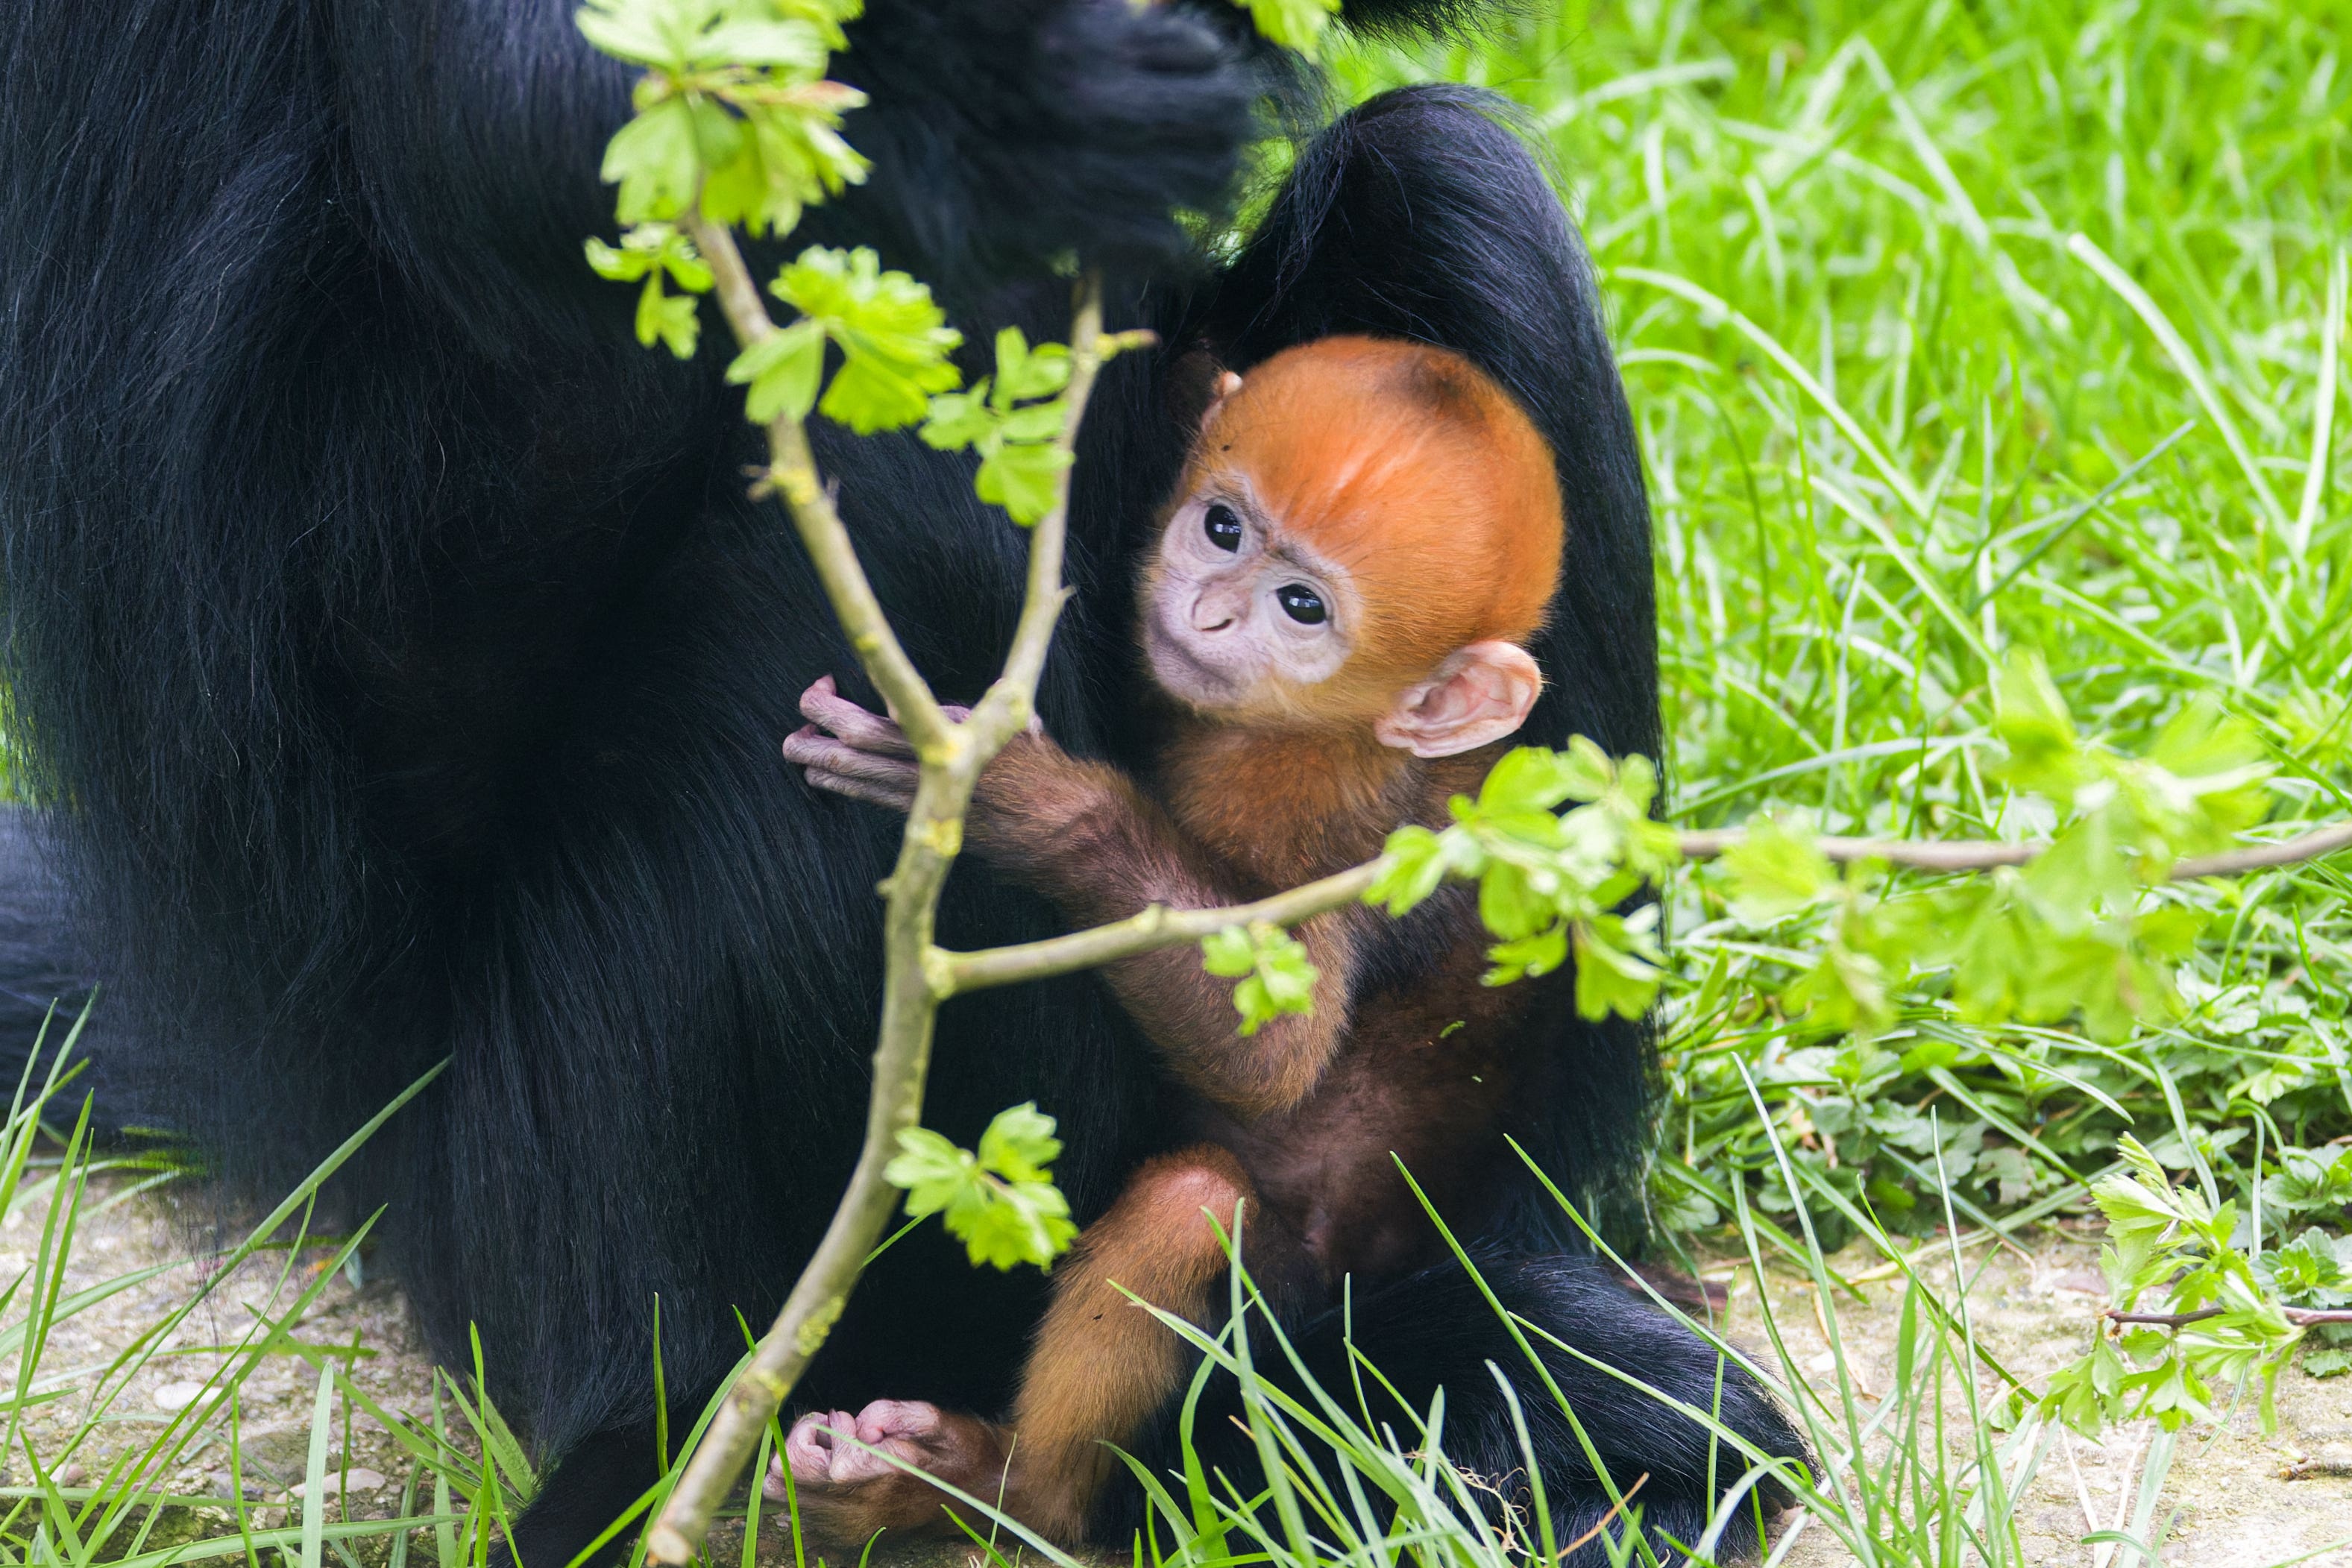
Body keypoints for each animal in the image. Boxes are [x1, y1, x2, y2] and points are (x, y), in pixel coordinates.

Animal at [781, 341, 1570, 1542]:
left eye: (1302, 606)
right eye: (1223, 527)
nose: (1204, 613)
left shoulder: (1316, 808)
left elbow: (1274, 1053)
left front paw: (1028, 803)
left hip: (1282, 1315)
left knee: (1188, 1205)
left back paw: (996, 1490)